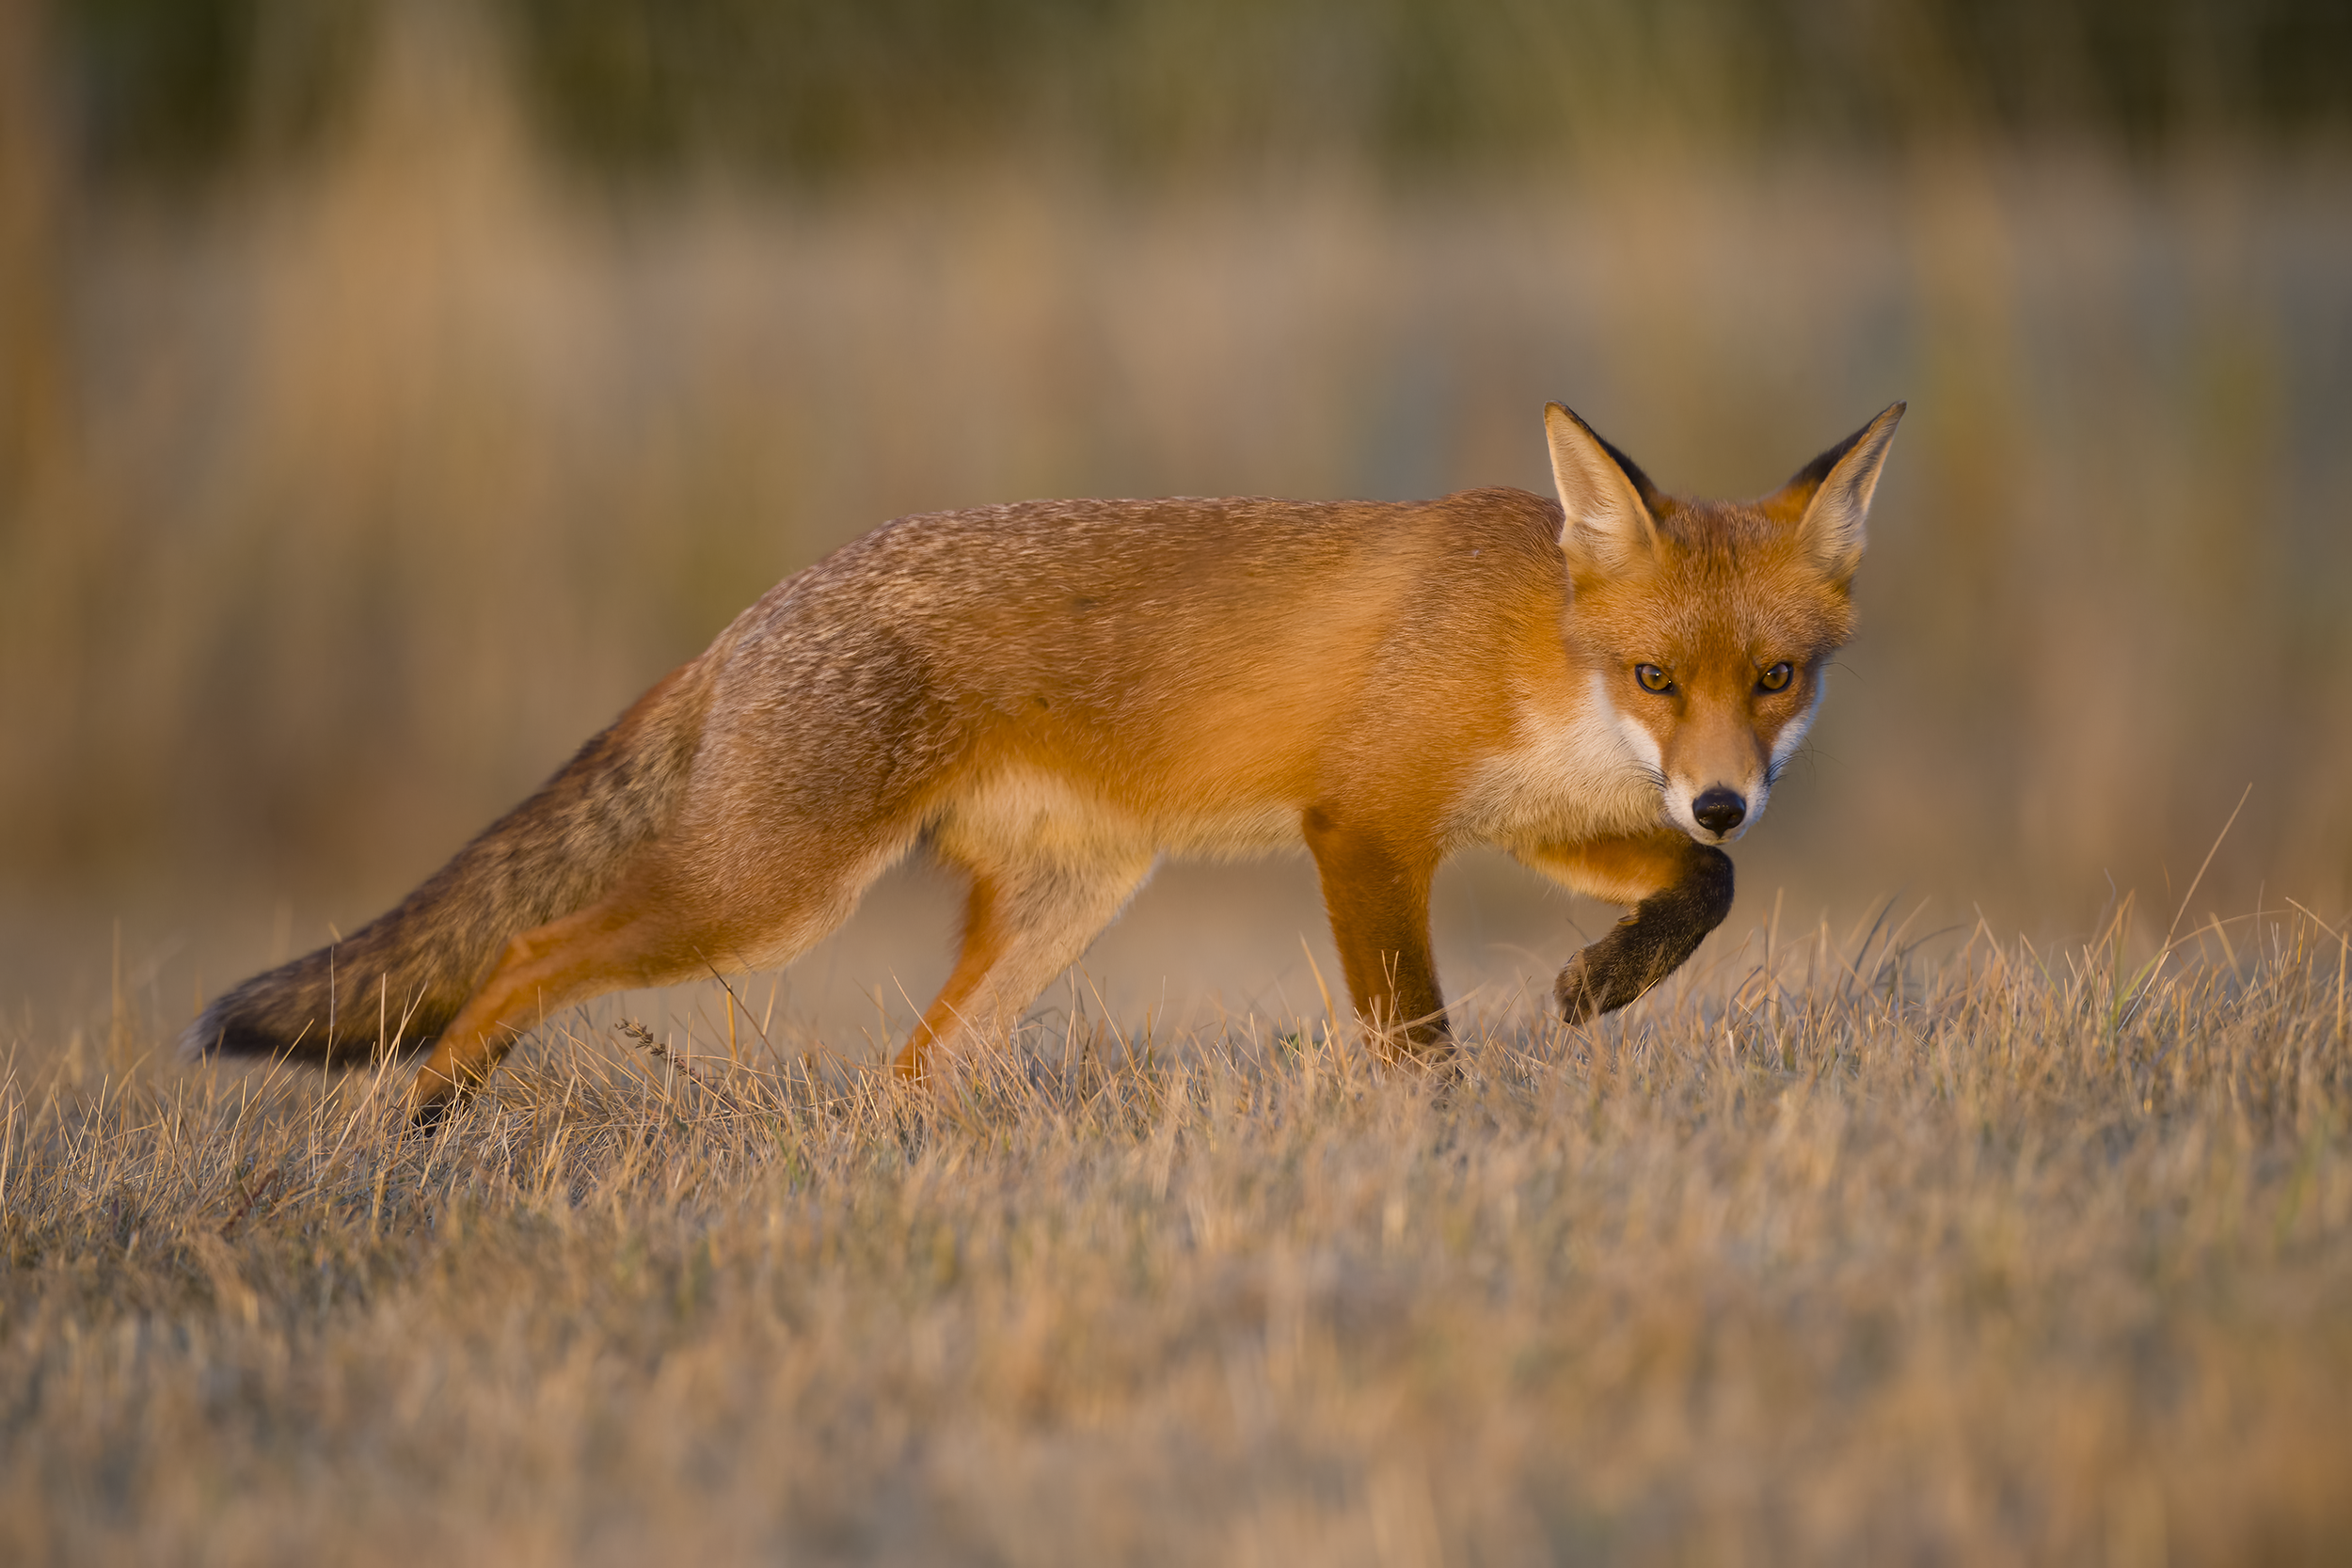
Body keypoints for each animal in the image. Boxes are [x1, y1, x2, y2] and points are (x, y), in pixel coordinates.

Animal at [185, 400, 1902, 1125]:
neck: (1537, 658)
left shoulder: (1537, 821)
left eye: (1775, 679)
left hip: (1061, 907)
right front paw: (1448, 1142)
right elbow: (1414, 1033)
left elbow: (1706, 885)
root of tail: (765, 603)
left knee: (905, 1069)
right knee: (532, 946)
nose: (1728, 782)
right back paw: (433, 1107)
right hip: (766, 896)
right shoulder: (1363, 823)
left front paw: (1608, 980)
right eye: (1656, 676)